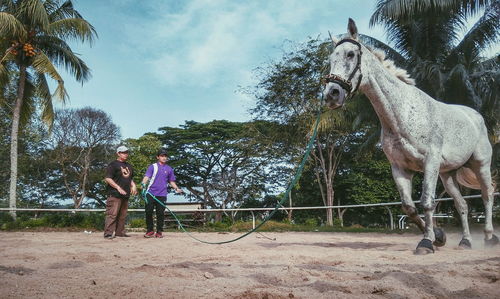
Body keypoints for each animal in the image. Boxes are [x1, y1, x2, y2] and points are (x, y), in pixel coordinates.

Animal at [322, 18, 498, 254]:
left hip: (480, 165)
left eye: (350, 54)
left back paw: (489, 237)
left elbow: (427, 202)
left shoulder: (430, 163)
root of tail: (475, 116)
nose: (332, 95)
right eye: (331, 59)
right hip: (448, 175)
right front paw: (438, 237)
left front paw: (426, 242)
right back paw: (466, 241)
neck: (403, 112)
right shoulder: (399, 168)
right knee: (462, 204)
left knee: (487, 194)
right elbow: (409, 207)